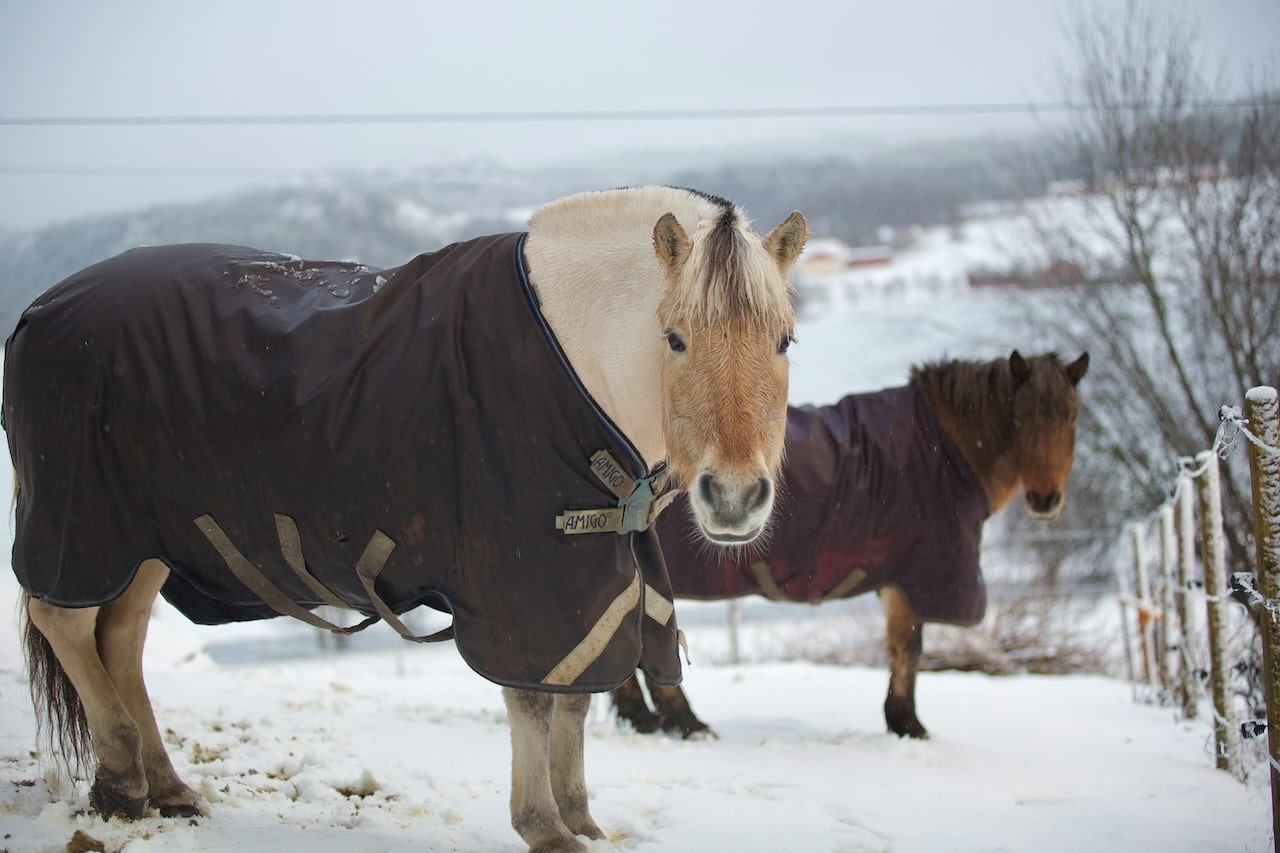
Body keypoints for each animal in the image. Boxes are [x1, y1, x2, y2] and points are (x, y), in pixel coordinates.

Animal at [4, 186, 808, 853]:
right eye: (675, 337)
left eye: (784, 339)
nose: (734, 498)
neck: (577, 359)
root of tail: (41, 310)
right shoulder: (525, 581)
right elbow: (532, 699)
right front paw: (544, 827)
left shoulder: (590, 579)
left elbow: (575, 700)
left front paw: (580, 818)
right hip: (85, 525)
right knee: (66, 622)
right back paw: (121, 781)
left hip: (144, 538)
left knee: (122, 637)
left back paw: (166, 786)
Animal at [612, 350, 1088, 740]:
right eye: (1020, 417)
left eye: (1071, 417)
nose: (1045, 499)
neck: (943, 448)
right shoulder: (912, 579)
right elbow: (907, 651)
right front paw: (908, 724)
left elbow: (903, 649)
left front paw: (902, 721)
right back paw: (686, 723)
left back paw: (645, 718)